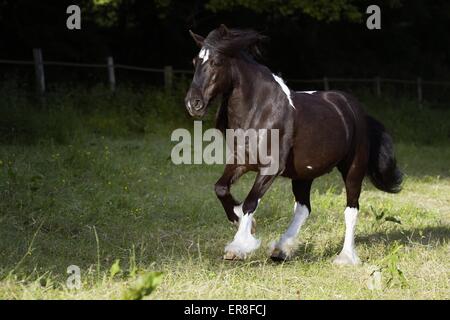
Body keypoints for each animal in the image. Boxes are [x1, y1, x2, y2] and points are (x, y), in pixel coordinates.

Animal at [185, 25, 402, 264]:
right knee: (303, 208)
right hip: (303, 174)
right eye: (195, 61)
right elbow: (221, 188)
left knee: (351, 209)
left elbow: (251, 202)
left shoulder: (270, 169)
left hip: (353, 169)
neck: (260, 110)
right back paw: (281, 249)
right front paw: (241, 222)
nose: (193, 104)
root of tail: (356, 110)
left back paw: (345, 257)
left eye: (216, 62)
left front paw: (239, 246)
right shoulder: (241, 162)